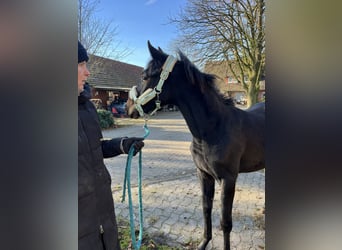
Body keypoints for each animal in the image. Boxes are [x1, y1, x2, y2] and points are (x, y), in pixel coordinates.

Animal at [127, 42, 264, 249]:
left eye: (145, 76)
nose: (129, 109)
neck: (213, 129)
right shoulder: (204, 175)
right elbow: (206, 210)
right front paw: (203, 243)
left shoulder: (228, 179)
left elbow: (225, 223)